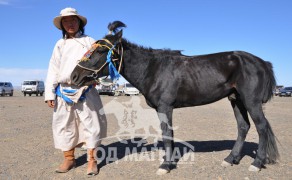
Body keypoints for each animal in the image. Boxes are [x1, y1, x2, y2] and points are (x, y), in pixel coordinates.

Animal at [70, 21, 278, 174]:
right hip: (236, 99)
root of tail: (261, 62)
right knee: (243, 127)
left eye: (100, 51)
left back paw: (256, 163)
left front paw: (166, 165)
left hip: (251, 101)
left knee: (261, 128)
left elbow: (167, 134)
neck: (152, 69)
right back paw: (230, 159)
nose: (74, 77)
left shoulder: (165, 107)